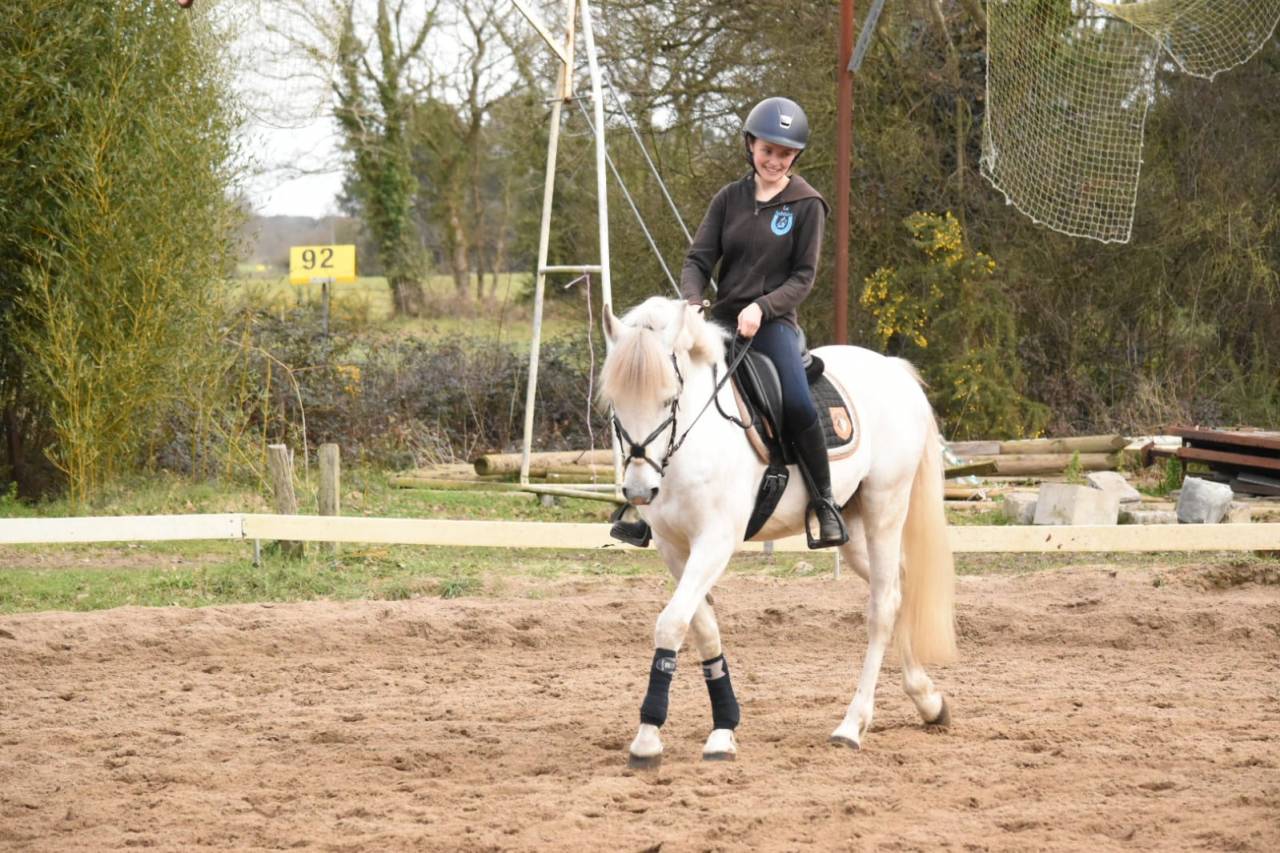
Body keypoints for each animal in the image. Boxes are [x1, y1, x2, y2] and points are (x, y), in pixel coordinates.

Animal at [598, 296, 956, 766]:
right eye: (614, 403)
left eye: (668, 399)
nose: (640, 491)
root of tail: (894, 371)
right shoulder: (674, 548)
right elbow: (702, 627)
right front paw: (723, 728)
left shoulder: (715, 541)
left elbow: (672, 623)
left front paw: (647, 735)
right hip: (855, 529)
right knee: (897, 590)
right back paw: (927, 700)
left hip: (886, 507)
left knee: (882, 607)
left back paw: (852, 725)